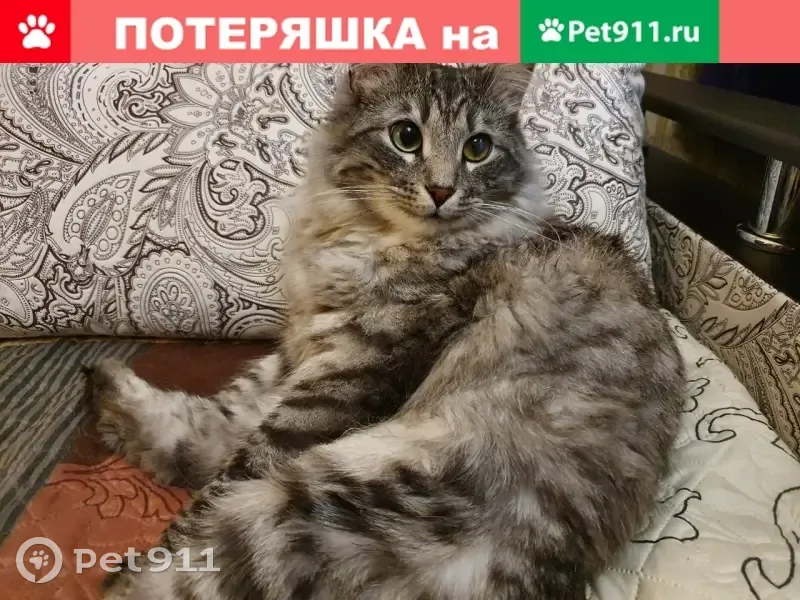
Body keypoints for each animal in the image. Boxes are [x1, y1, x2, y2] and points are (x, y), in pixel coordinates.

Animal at [89, 63, 685, 600]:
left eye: (477, 148)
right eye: (406, 137)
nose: (442, 190)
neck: (372, 239)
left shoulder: (345, 375)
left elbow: (225, 475)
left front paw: (168, 534)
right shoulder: (303, 347)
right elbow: (222, 418)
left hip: (317, 501)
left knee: (187, 572)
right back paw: (109, 392)